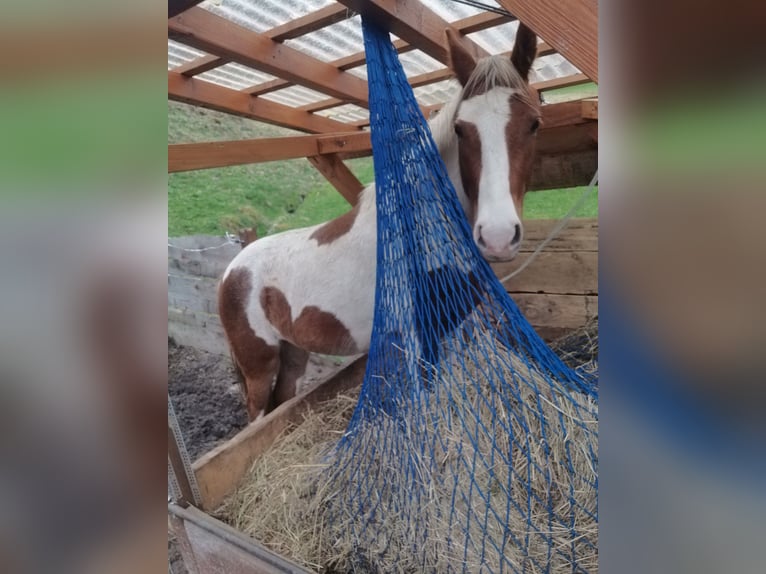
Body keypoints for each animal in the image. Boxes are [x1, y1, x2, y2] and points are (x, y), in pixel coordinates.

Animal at [219, 25, 544, 424]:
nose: (497, 236)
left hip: (293, 352)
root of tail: (232, 269)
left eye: (533, 123)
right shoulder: (413, 335)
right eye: (461, 130)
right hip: (259, 365)